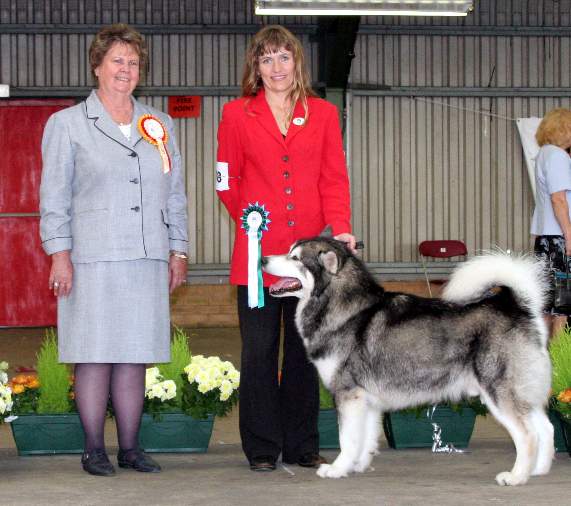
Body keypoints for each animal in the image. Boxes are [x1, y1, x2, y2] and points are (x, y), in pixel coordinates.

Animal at [262, 230, 556, 486]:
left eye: (295, 258)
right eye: (289, 251)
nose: (262, 259)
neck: (343, 308)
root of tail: (514, 305)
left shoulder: (348, 393)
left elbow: (348, 439)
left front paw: (337, 468)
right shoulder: (367, 400)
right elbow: (365, 438)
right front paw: (357, 465)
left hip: (499, 392)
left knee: (528, 435)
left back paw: (517, 477)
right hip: (524, 391)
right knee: (546, 428)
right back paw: (539, 470)